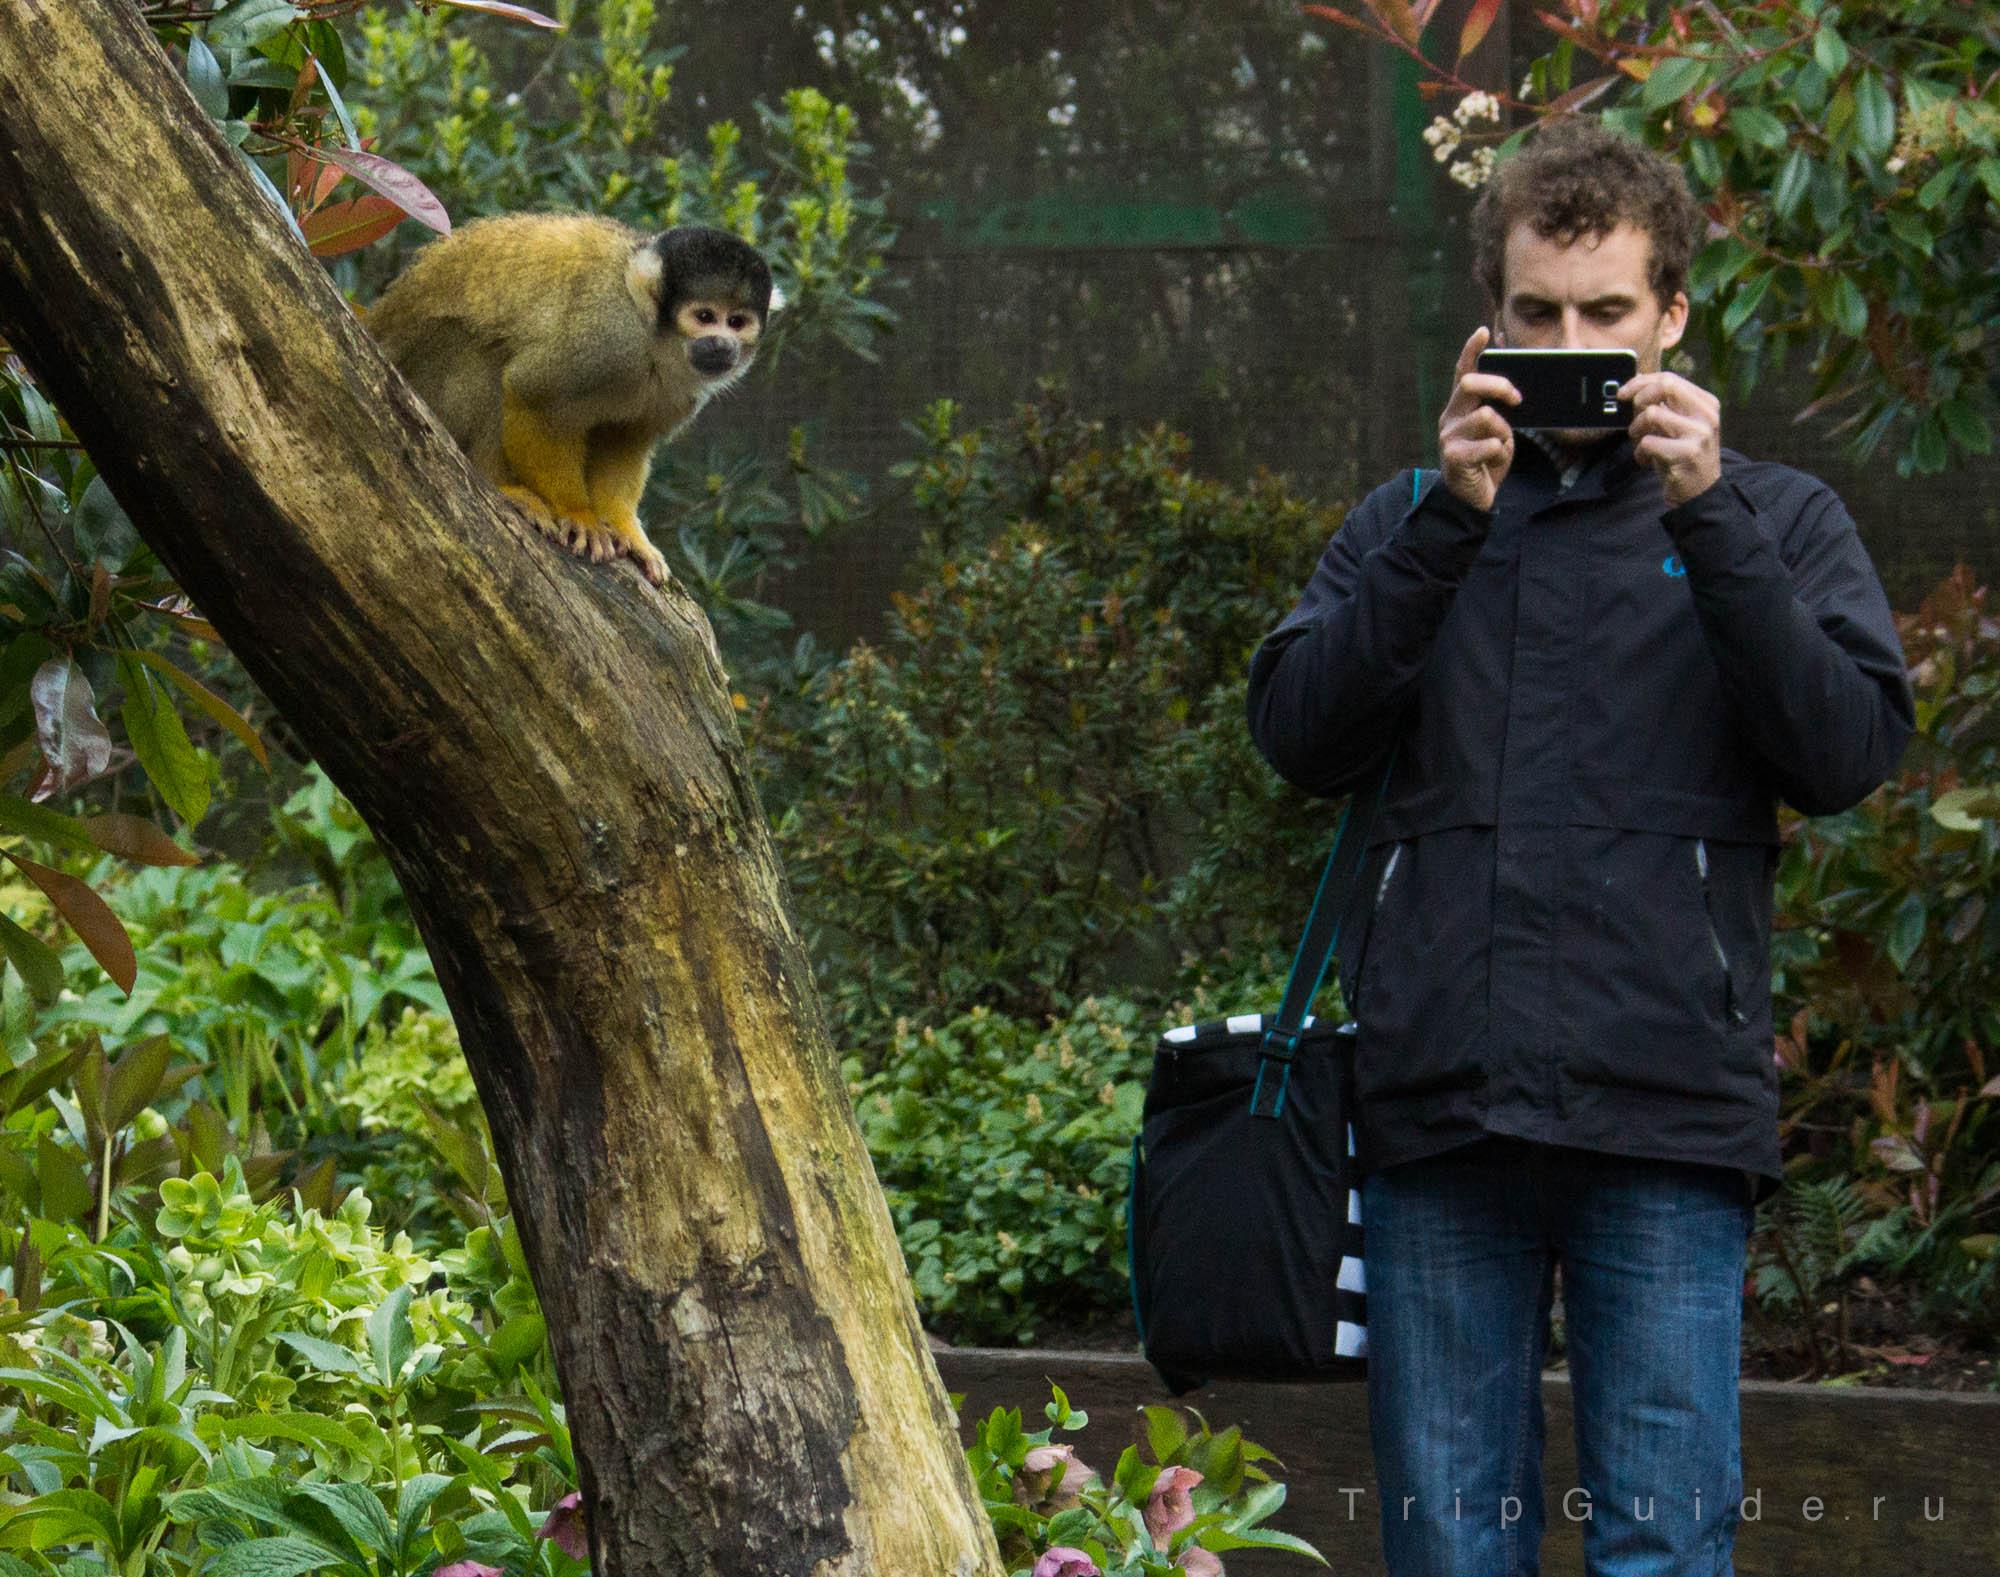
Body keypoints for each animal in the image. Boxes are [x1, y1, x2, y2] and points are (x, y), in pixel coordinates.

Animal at [366, 215, 772, 586]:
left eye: (737, 322)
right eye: (705, 316)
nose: (722, 345)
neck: (653, 342)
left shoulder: (681, 393)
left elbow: (625, 439)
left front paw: (624, 526)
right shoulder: (607, 337)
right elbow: (533, 395)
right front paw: (579, 514)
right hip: (419, 373)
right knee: (483, 353)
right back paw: (499, 483)